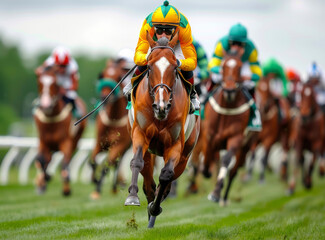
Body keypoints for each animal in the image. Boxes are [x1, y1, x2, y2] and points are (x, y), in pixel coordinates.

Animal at [33, 67, 86, 195]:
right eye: (39, 83)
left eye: (55, 83)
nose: (46, 105)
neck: (51, 118)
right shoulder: (43, 141)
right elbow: (41, 160)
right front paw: (43, 180)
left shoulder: (66, 141)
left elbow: (64, 164)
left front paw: (66, 189)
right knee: (47, 159)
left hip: (75, 140)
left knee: (67, 160)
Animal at [89, 60, 131, 199]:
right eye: (102, 75)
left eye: (118, 77)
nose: (104, 97)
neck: (113, 118)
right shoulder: (100, 142)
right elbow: (92, 161)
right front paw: (94, 180)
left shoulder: (120, 144)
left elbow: (108, 164)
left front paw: (97, 189)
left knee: (117, 162)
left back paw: (114, 187)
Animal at [200, 49, 256, 205]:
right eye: (223, 66)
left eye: (239, 67)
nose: (230, 90)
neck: (227, 108)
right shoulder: (209, 136)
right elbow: (207, 158)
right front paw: (206, 171)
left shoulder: (236, 138)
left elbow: (226, 161)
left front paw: (216, 193)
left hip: (245, 147)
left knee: (233, 170)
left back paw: (224, 198)